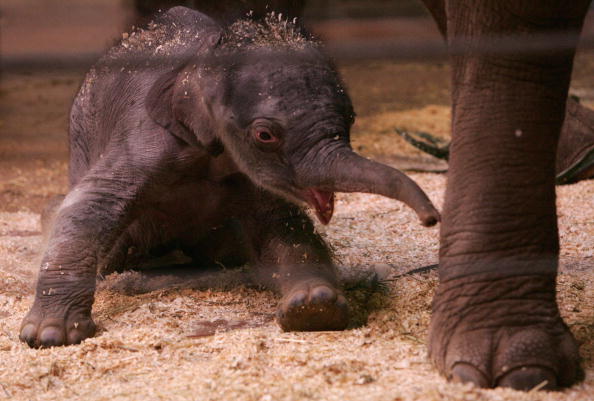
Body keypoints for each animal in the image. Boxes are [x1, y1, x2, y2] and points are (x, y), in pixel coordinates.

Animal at [19, 6, 434, 346]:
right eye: (265, 135)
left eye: (351, 119)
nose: (431, 218)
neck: (204, 58)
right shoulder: (149, 138)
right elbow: (91, 206)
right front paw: (49, 336)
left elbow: (283, 225)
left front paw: (314, 308)